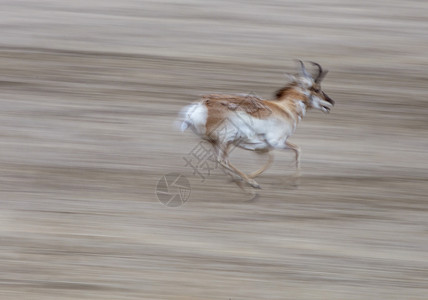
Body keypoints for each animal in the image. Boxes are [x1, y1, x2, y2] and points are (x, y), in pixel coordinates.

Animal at [180, 59, 334, 189]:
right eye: (317, 89)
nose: (331, 102)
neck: (285, 109)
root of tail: (202, 104)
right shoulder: (276, 142)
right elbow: (292, 151)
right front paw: (291, 182)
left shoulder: (263, 147)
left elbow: (280, 156)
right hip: (226, 140)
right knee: (223, 161)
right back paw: (252, 185)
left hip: (216, 142)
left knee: (221, 162)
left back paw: (239, 181)